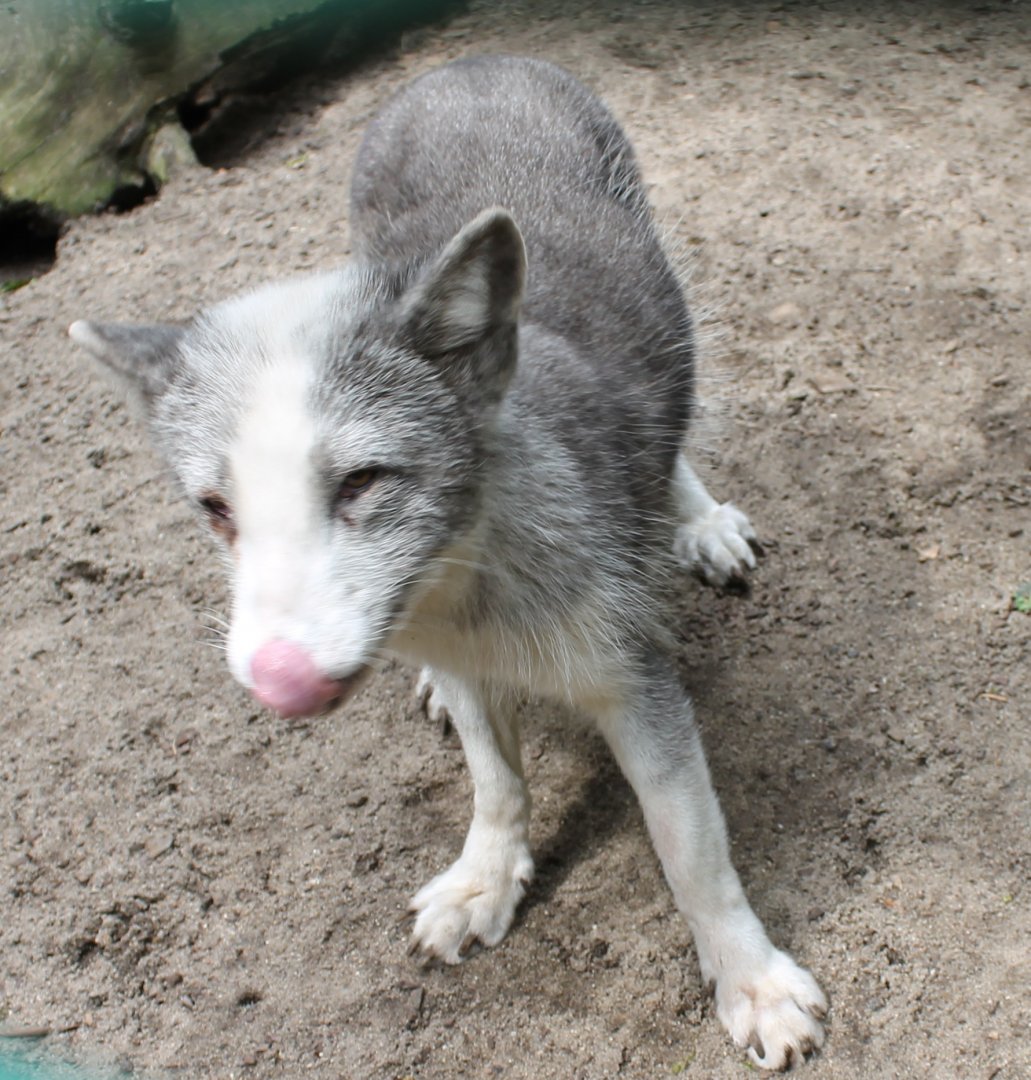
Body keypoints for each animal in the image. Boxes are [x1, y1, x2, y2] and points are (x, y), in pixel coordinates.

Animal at [70, 56, 827, 1069]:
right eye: (216, 509)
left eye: (362, 481)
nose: (277, 680)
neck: (470, 597)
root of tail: (471, 64)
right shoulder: (464, 664)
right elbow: (496, 783)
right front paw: (486, 879)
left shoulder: (635, 679)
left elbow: (692, 852)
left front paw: (750, 979)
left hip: (666, 303)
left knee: (671, 425)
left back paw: (695, 517)